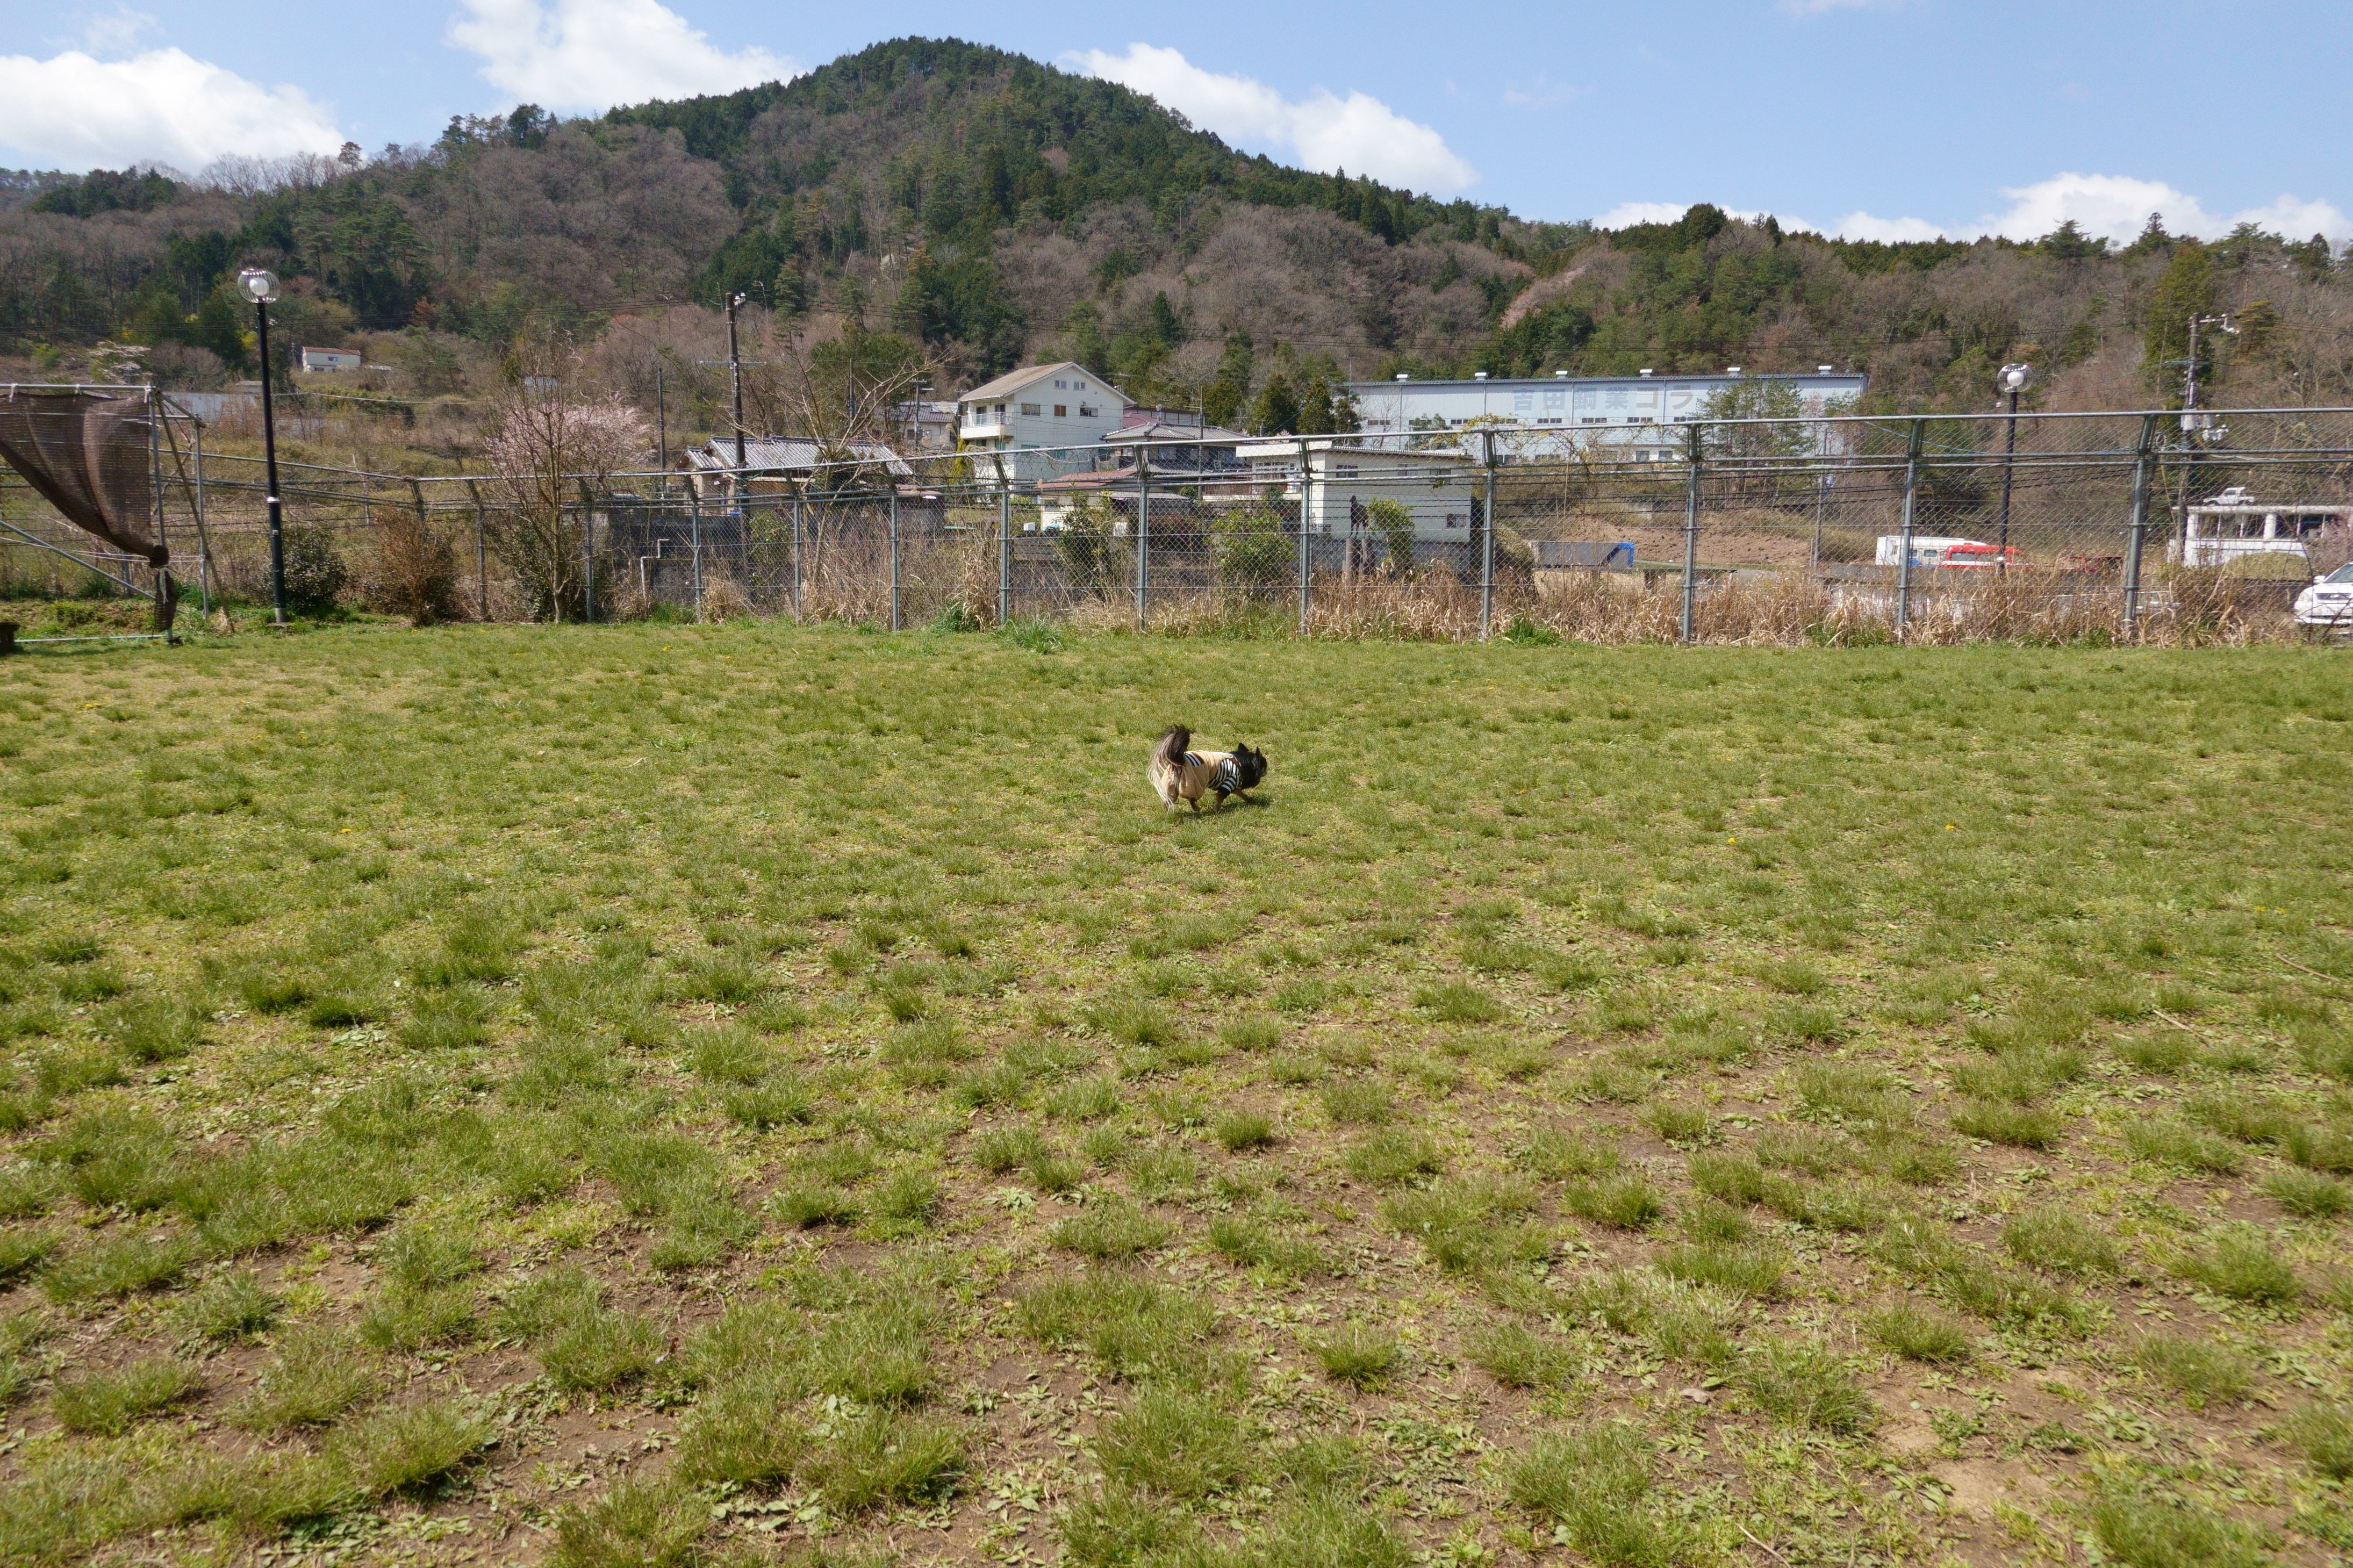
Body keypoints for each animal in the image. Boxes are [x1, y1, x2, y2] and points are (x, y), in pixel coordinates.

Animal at [1143, 729, 1271, 818]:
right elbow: (1220, 799)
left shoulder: (1232, 786)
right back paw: (1196, 809)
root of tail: (1179, 760)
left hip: (1171, 785)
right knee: (1191, 799)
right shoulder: (1230, 782)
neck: (1240, 763)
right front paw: (1218, 811)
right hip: (1195, 783)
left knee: (1168, 801)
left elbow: (1240, 793)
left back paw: (1168, 814)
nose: (1267, 771)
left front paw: (1250, 799)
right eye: (1265, 765)